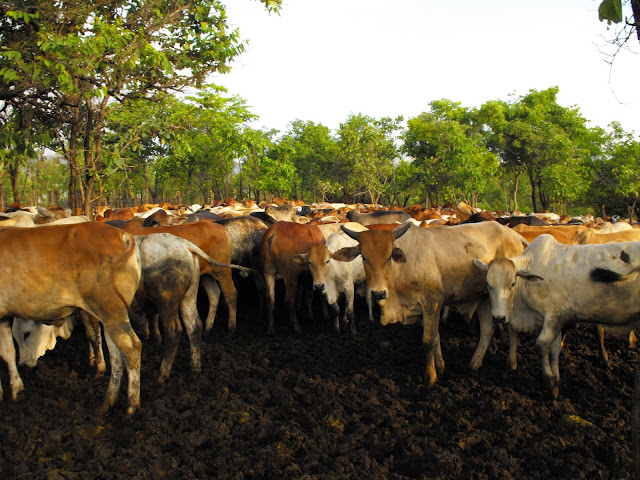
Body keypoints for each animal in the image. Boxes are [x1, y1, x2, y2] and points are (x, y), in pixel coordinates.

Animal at [0, 222, 142, 414]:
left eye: (26, 334)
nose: (24, 364)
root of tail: (123, 236)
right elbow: (8, 352)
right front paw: (16, 390)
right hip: (112, 314)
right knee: (117, 354)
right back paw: (107, 402)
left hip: (111, 310)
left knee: (132, 348)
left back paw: (131, 406)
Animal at [333, 221, 527, 384]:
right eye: (363, 257)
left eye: (389, 257)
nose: (378, 292)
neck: (402, 270)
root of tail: (512, 233)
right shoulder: (422, 310)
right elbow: (435, 337)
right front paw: (441, 368)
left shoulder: (431, 303)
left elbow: (427, 341)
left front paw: (430, 376)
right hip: (485, 296)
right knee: (487, 328)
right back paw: (474, 364)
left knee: (512, 328)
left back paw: (511, 362)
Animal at [473, 234, 640, 399]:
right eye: (488, 284)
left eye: (512, 283)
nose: (498, 317)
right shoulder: (556, 321)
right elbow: (552, 349)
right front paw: (556, 378)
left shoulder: (556, 314)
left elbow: (542, 345)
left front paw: (551, 386)